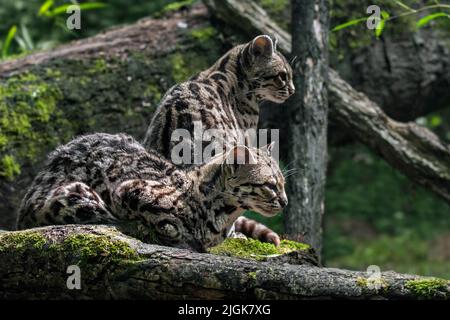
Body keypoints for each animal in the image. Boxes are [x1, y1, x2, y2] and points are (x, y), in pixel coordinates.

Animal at [17, 133, 288, 252]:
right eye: (270, 185)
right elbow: (169, 224)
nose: (285, 202)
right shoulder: (126, 189)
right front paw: (178, 233)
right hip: (74, 197)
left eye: (283, 183)